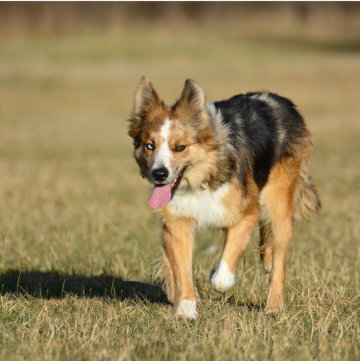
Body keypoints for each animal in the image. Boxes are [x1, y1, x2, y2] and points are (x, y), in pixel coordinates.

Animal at [127, 76, 320, 318]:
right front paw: (186, 310)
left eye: (180, 147)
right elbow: (182, 271)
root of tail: (282, 101)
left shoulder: (246, 213)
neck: (202, 176)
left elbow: (221, 277)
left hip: (280, 203)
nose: (159, 174)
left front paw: (213, 278)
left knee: (279, 259)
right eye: (149, 145)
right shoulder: (177, 223)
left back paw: (273, 307)